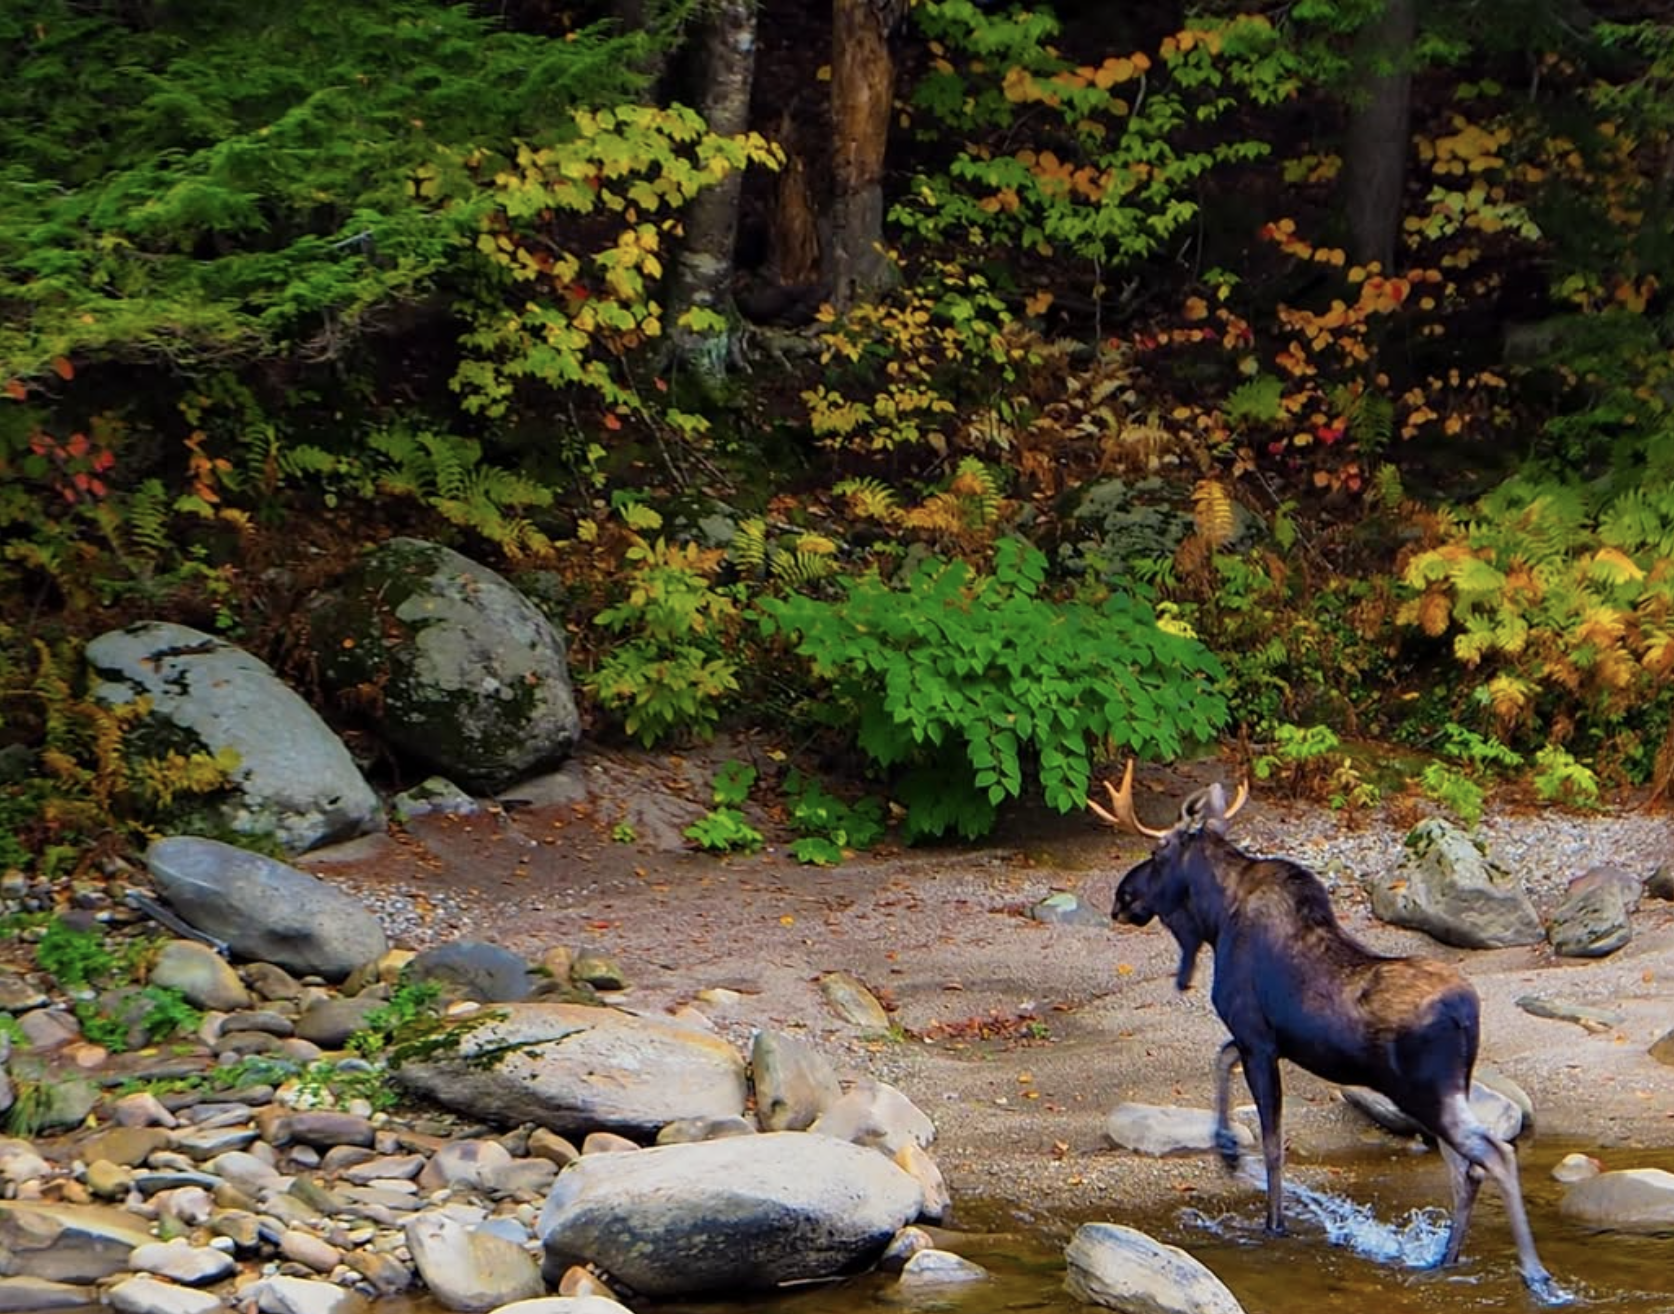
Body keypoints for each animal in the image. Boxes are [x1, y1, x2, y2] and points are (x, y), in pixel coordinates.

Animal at [1092, 762, 1567, 1305]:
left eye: (1157, 853)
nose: (1121, 898)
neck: (1213, 923)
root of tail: (1469, 1014)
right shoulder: (1265, 1040)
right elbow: (1221, 1058)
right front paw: (1227, 1148)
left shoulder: (1256, 1037)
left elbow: (1273, 1143)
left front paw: (1273, 1222)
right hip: (1450, 1092)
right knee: (1464, 1171)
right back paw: (1444, 1258)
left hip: (1427, 1092)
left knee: (1495, 1154)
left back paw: (1535, 1273)